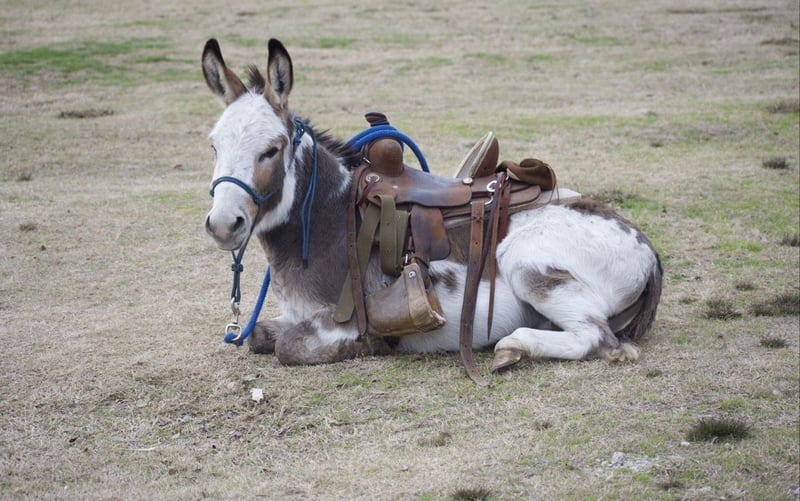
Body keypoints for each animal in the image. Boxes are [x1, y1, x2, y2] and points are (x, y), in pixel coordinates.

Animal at [201, 38, 663, 381]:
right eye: (213, 145)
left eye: (271, 149)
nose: (224, 225)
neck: (327, 222)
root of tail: (649, 250)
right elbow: (260, 335)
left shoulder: (338, 320)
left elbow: (287, 346)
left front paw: (368, 346)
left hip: (522, 258)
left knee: (598, 340)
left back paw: (513, 346)